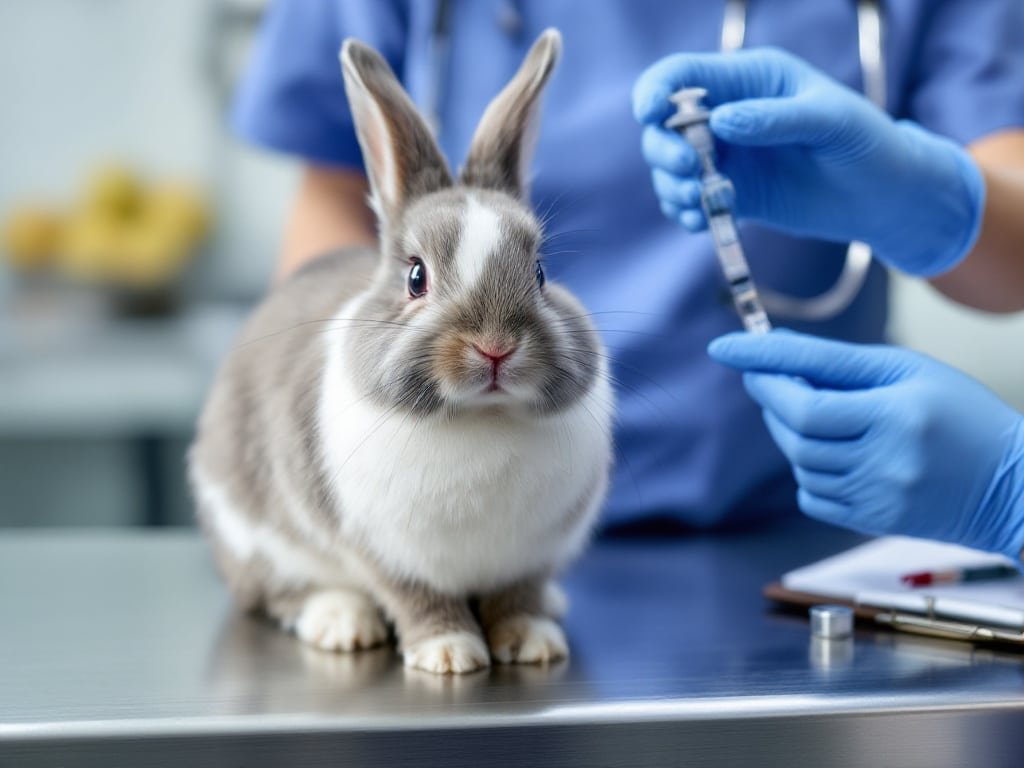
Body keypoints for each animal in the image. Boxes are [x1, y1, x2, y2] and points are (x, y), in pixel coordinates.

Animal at [188, 28, 613, 675]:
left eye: (540, 273)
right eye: (416, 277)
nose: (495, 347)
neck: (482, 420)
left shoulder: (531, 555)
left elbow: (517, 596)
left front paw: (533, 642)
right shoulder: (383, 551)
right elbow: (417, 598)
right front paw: (449, 653)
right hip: (251, 536)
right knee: (275, 593)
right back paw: (341, 622)